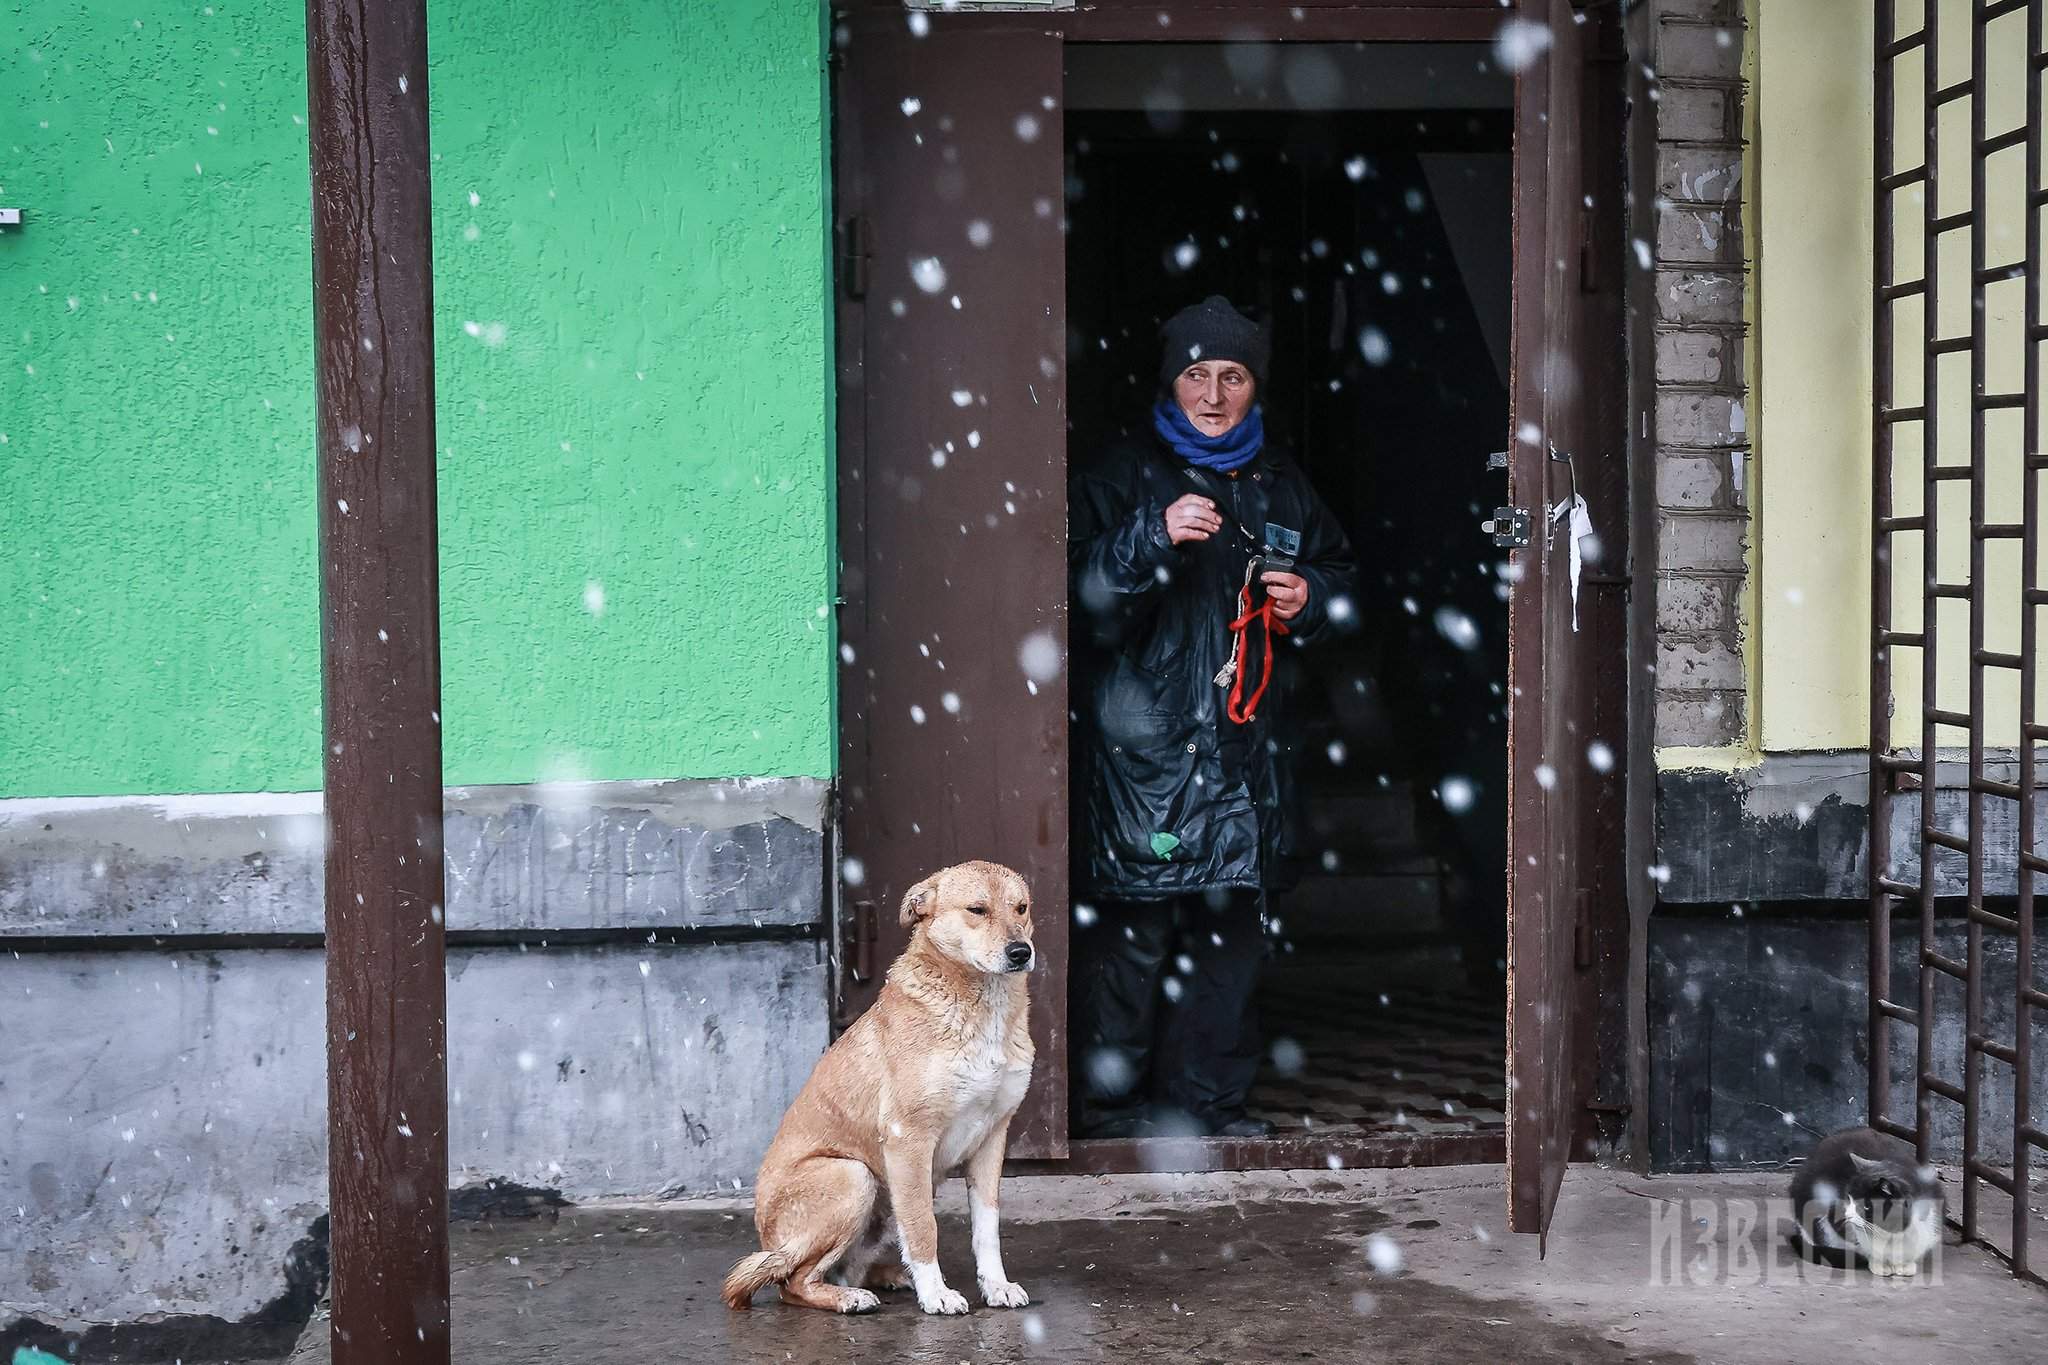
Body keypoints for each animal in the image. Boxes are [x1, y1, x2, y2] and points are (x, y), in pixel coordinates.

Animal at [724, 859, 1040, 1317]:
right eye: (977, 910)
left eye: (1021, 908)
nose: (1021, 952)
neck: (982, 1011)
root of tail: (770, 1241)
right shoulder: (908, 1138)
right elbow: (924, 1228)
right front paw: (937, 1294)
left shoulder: (992, 1137)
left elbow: (987, 1226)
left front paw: (996, 1286)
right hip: (854, 1176)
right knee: (794, 1282)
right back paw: (849, 1298)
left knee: (842, 1267)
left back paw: (886, 1277)